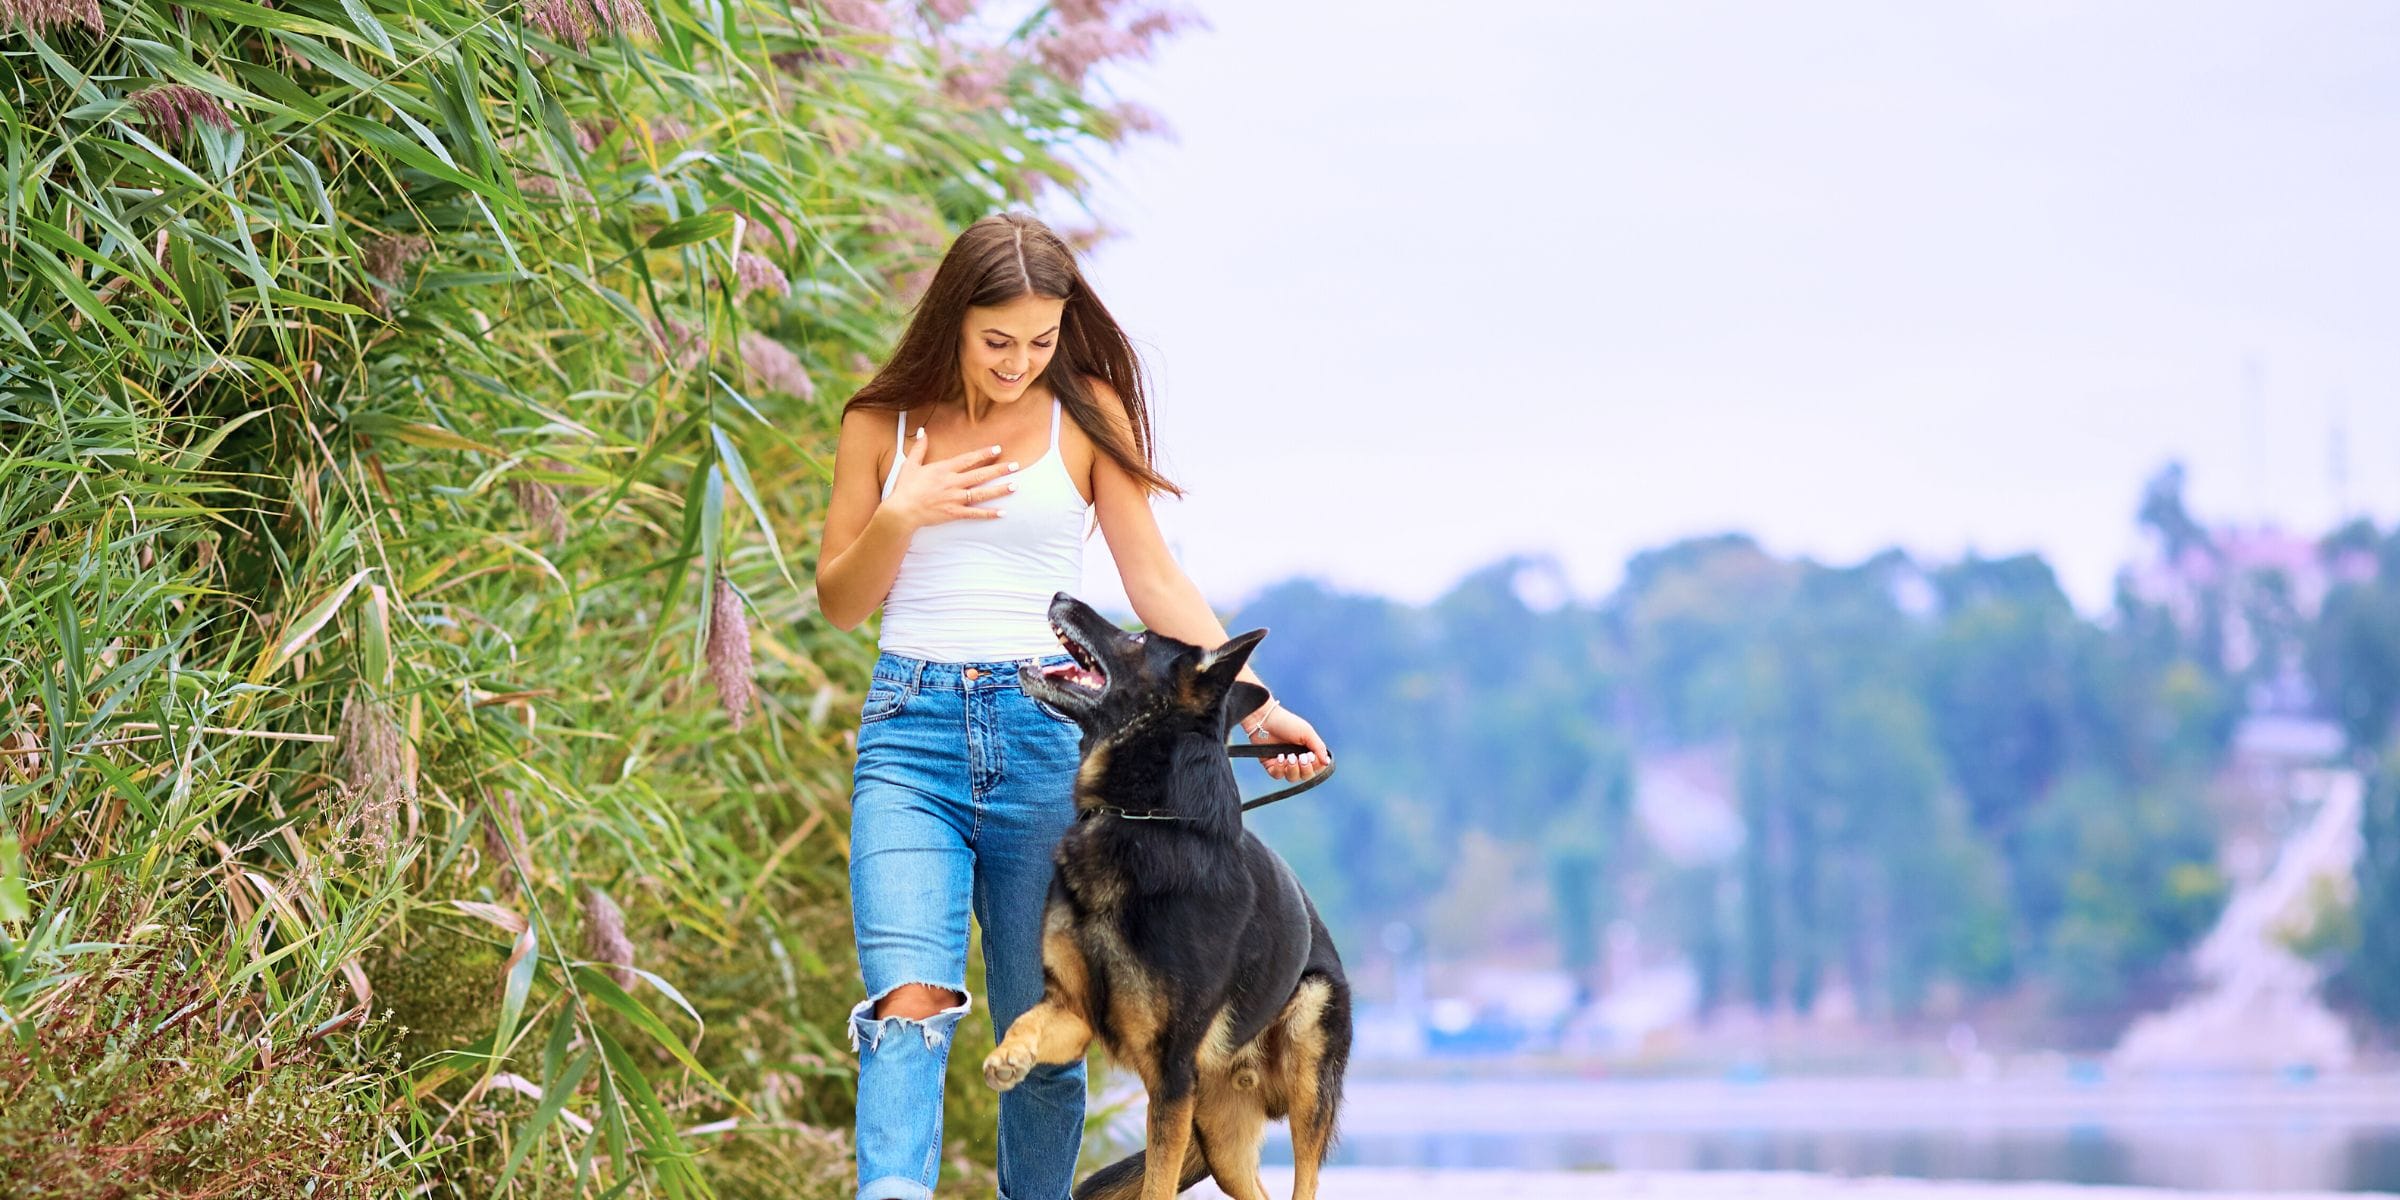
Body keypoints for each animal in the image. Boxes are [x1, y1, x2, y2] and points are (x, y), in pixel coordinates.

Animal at [979, 592, 1353, 1200]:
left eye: (1136, 639)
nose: (1060, 595)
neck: (1141, 819)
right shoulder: (1072, 1014)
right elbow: (1024, 1022)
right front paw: (1009, 1057)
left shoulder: (1170, 1080)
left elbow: (1156, 1185)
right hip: (1221, 1141)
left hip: (1304, 1074)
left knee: (1305, 1178)